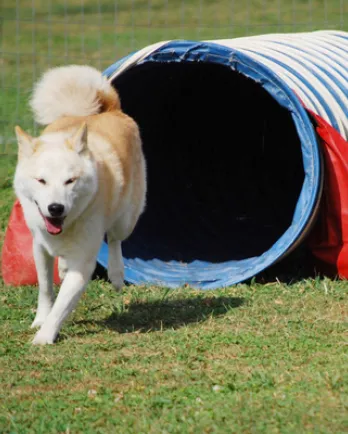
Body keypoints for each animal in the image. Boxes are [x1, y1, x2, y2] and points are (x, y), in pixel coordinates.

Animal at [13, 64, 146, 344]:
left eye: (70, 181)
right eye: (41, 180)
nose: (55, 208)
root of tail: (110, 109)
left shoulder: (84, 263)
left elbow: (62, 305)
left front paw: (44, 336)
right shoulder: (39, 247)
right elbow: (46, 289)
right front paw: (39, 320)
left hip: (126, 218)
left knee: (115, 239)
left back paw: (117, 274)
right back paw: (63, 266)